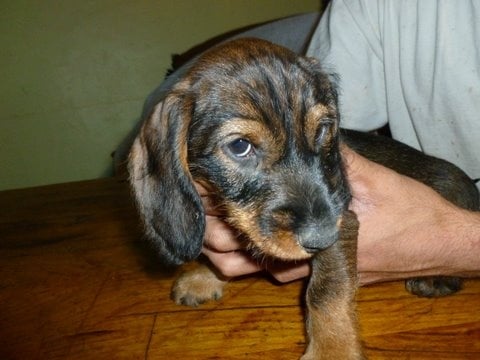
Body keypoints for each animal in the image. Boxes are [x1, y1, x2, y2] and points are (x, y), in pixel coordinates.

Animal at [128, 38, 480, 358]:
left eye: (323, 129)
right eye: (240, 146)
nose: (322, 236)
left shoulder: (344, 221)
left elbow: (325, 291)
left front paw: (332, 351)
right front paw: (204, 276)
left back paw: (435, 279)